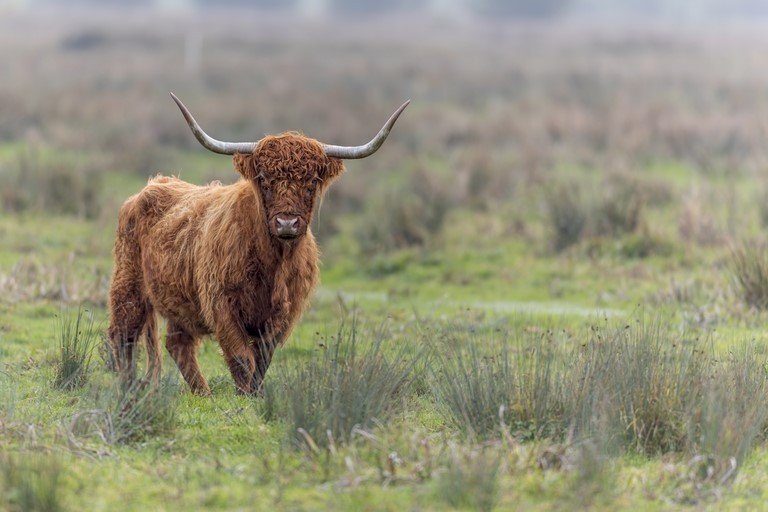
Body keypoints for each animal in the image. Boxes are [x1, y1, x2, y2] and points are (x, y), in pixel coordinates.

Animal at [107, 93, 409, 395]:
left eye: (312, 181)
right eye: (264, 179)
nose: (286, 223)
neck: (275, 263)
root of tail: (152, 186)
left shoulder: (282, 315)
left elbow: (262, 359)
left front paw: (256, 394)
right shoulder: (222, 305)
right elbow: (241, 358)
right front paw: (244, 396)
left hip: (178, 302)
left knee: (177, 344)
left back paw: (203, 394)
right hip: (128, 287)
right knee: (123, 337)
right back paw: (128, 390)